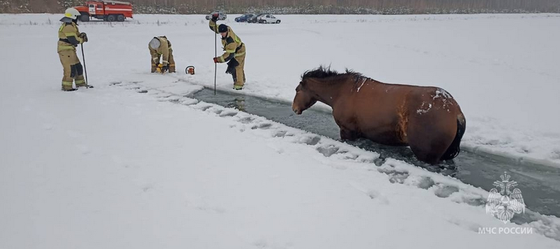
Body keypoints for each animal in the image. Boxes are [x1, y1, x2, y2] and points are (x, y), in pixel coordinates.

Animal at [290, 66, 466, 163]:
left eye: (297, 90)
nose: (294, 108)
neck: (342, 92)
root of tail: (455, 111)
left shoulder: (347, 131)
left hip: (427, 155)